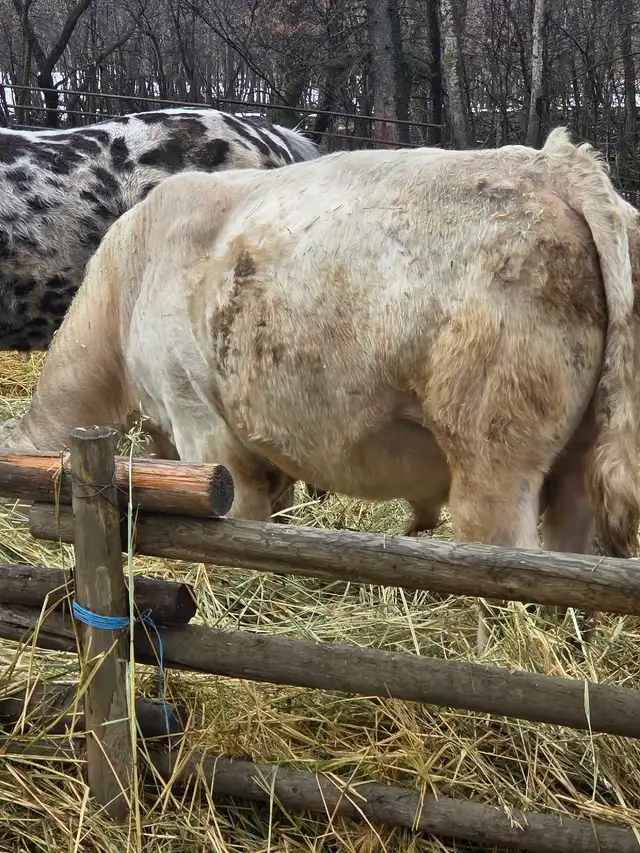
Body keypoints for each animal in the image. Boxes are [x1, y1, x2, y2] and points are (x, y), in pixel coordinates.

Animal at [1, 127, 638, 650]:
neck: (124, 289)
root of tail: (553, 162)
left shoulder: (201, 424)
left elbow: (239, 527)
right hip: (576, 465)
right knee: (569, 561)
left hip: (494, 462)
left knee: (509, 573)